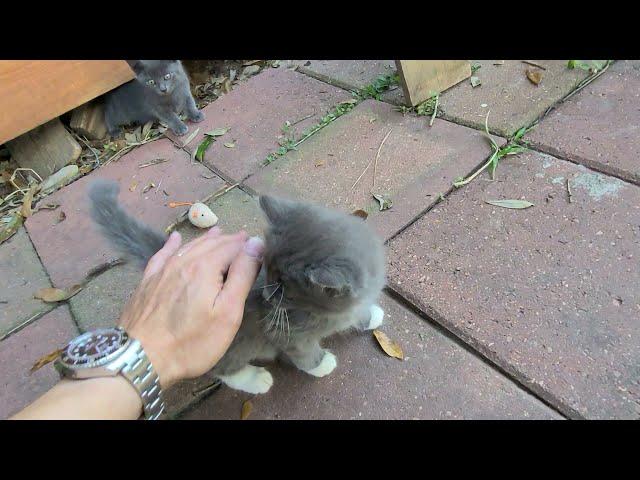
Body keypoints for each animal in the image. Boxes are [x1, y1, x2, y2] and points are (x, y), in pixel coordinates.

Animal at [85, 180, 384, 394]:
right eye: (267, 272)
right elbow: (302, 351)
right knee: (222, 368)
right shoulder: (286, 333)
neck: (322, 313)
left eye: (283, 288)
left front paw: (370, 315)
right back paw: (254, 379)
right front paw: (321, 364)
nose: (266, 296)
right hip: (228, 339)